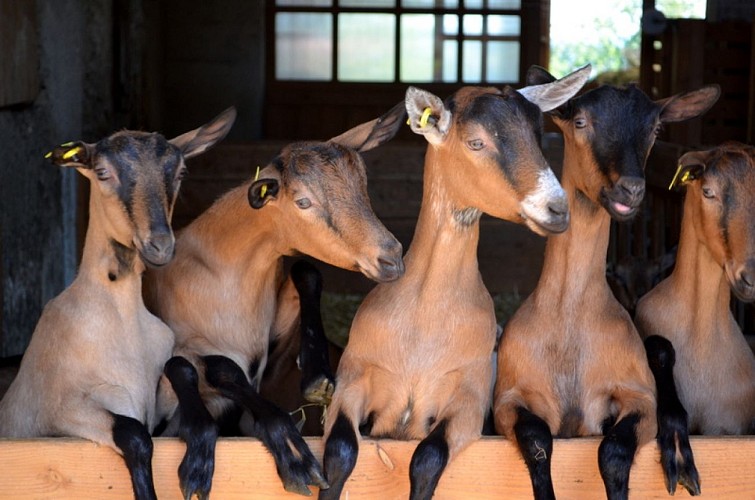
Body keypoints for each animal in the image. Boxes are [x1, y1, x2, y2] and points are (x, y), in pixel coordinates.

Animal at [0, 107, 236, 500]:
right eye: (102, 172)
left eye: (180, 172)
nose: (160, 245)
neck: (121, 318)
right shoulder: (59, 413)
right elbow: (133, 433)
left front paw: (197, 469)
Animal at [143, 103, 407, 496]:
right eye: (303, 201)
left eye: (363, 187)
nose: (391, 258)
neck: (226, 274)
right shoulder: (185, 344)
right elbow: (218, 368)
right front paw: (295, 457)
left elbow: (306, 271)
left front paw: (317, 376)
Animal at [318, 65, 592, 500]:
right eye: (476, 142)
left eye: (536, 137)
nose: (556, 209)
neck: (424, 321)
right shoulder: (353, 382)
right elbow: (341, 450)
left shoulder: (467, 403)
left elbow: (427, 457)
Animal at [493, 66, 720, 500]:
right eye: (580, 121)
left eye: (655, 127)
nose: (630, 189)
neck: (568, 320)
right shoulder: (510, 398)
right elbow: (537, 440)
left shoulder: (637, 398)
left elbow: (612, 451)